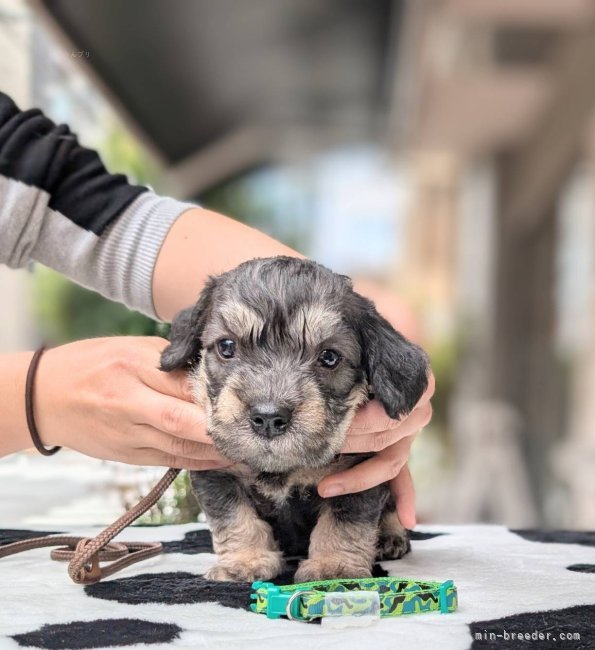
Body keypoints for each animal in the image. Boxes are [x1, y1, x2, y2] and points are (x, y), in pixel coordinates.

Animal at [159, 256, 428, 580]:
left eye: (329, 357)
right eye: (226, 346)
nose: (268, 417)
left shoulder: (358, 475)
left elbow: (345, 520)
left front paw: (333, 565)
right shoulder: (217, 474)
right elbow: (235, 518)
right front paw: (245, 560)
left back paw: (390, 536)